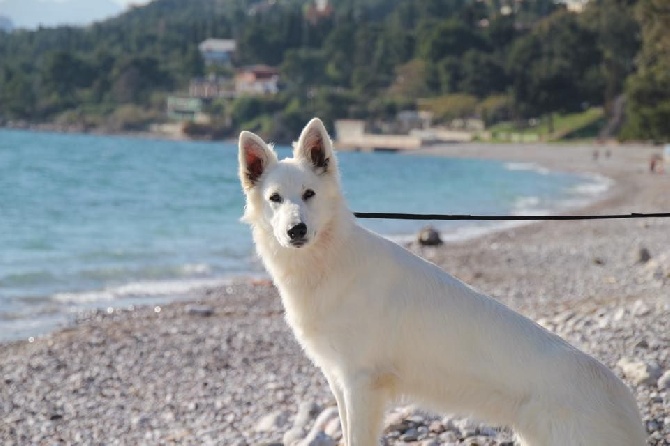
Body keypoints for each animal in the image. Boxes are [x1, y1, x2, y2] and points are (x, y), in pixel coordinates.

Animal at [239, 118, 648, 446]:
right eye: (275, 198)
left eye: (309, 194)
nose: (296, 230)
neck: (329, 260)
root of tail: (627, 404)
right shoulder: (341, 382)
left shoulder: (362, 384)